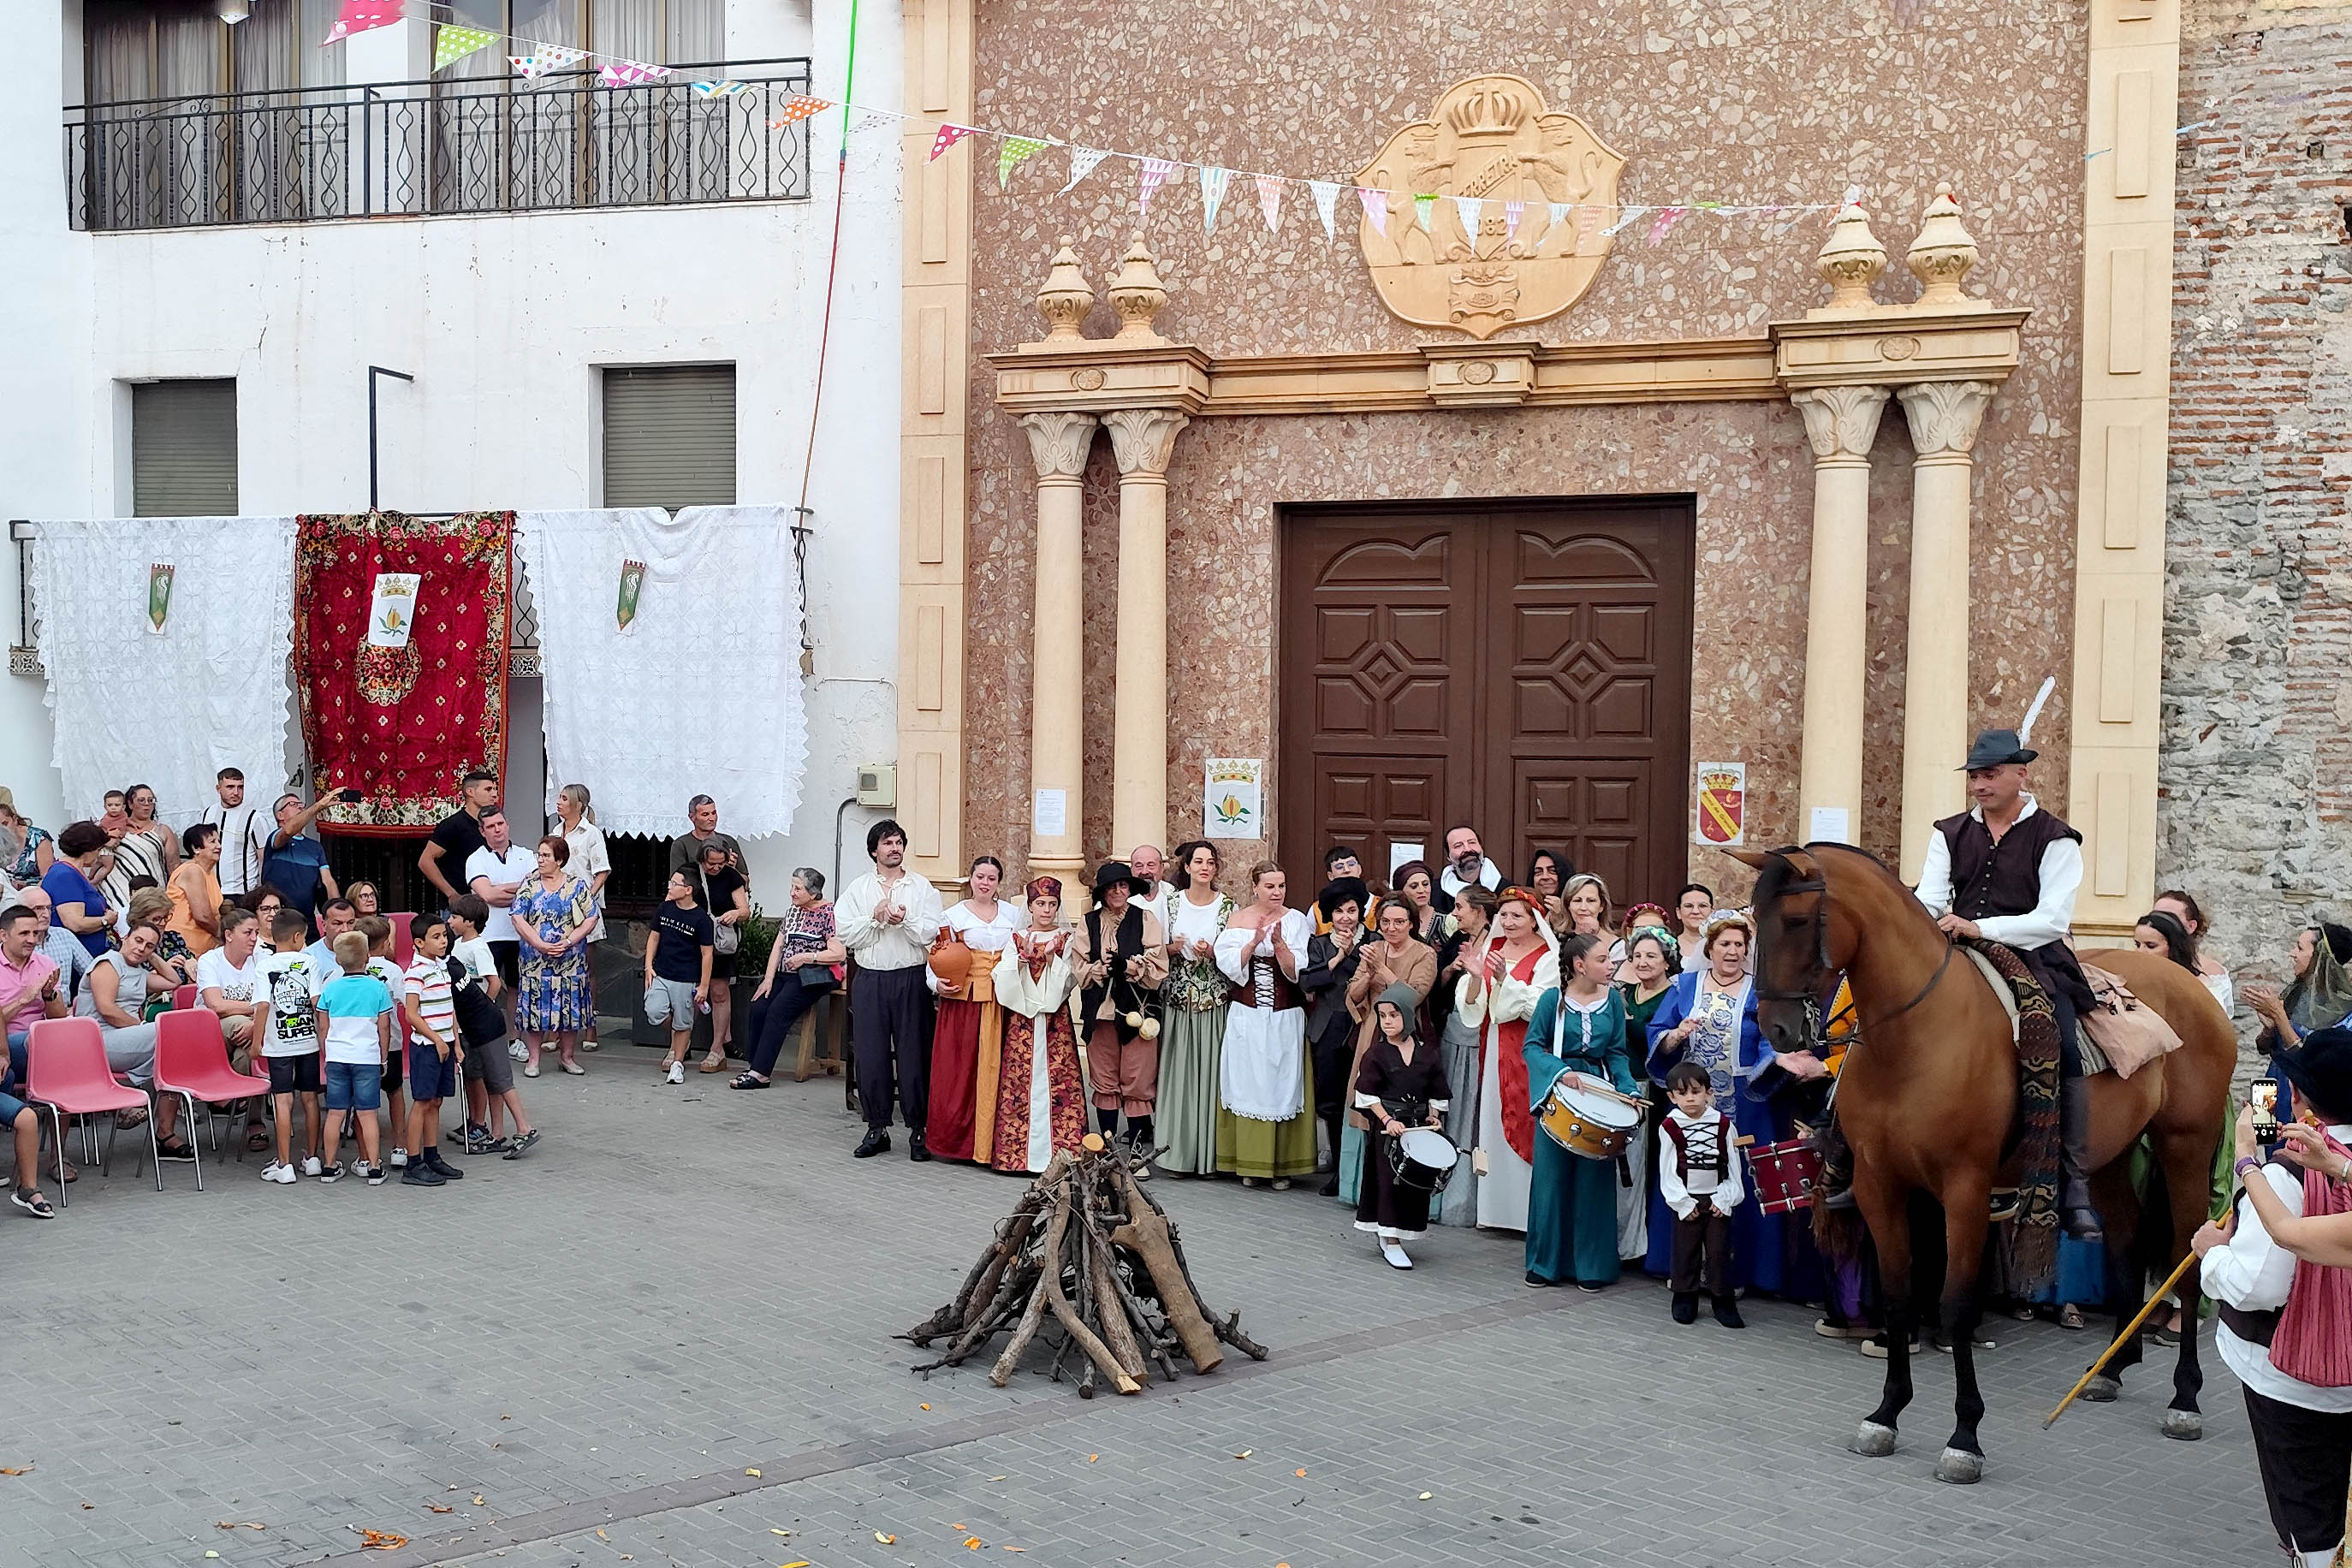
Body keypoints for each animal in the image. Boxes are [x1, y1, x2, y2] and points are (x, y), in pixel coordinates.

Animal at [1740, 846, 2230, 1485]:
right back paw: (2111, 1369)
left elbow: (1954, 1304)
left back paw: (2185, 1398)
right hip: (2110, 1157)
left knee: (2187, 1259)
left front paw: (1964, 1436)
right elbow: (1898, 1295)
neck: (1915, 1038)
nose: (1774, 1030)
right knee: (2123, 1239)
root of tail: (2192, 986)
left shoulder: (1965, 1192)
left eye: (1797, 921)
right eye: (1755, 920)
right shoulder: (1879, 1187)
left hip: (2186, 1147)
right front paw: (1886, 1414)